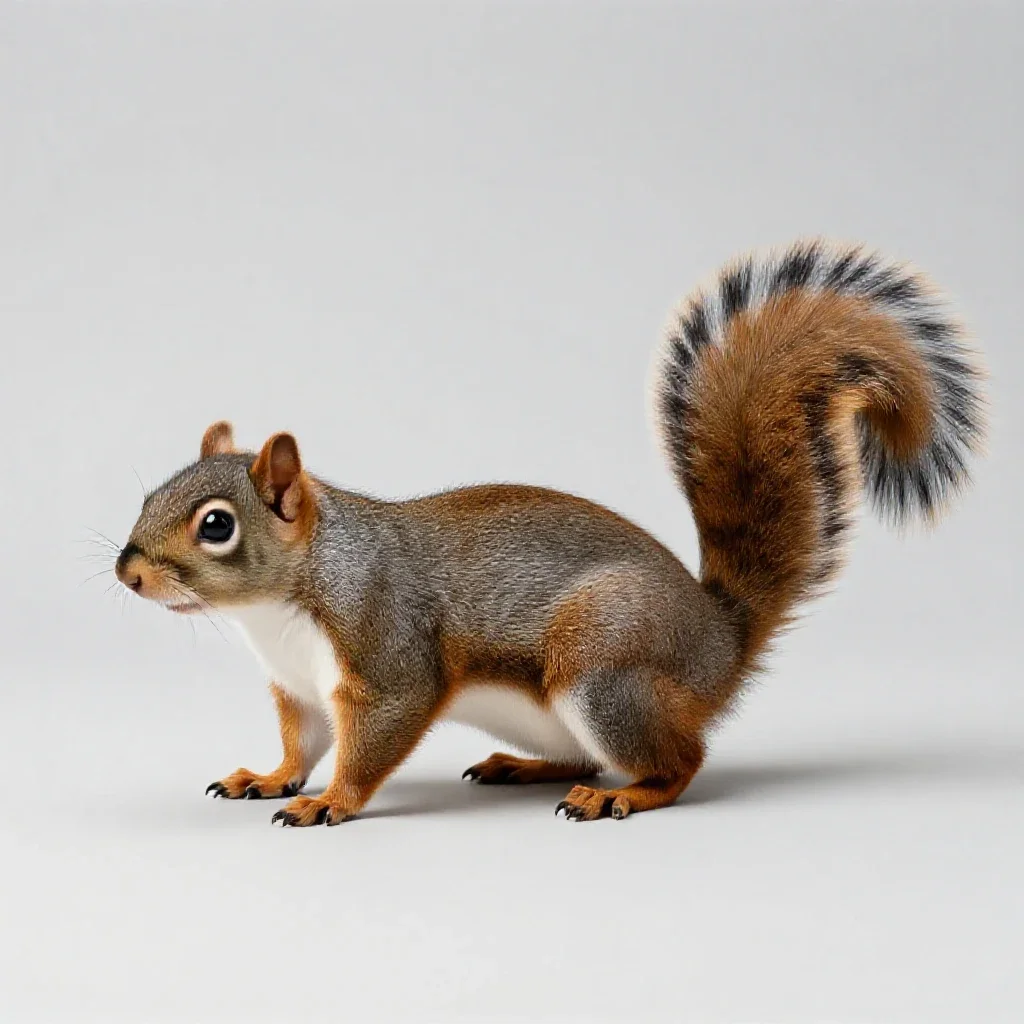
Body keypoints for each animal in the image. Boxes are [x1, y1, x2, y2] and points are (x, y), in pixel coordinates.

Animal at [115, 239, 985, 826]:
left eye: (216, 525)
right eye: (150, 493)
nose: (128, 573)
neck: (278, 606)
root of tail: (719, 641)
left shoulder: (387, 652)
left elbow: (373, 739)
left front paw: (329, 802)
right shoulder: (300, 688)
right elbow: (304, 742)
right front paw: (270, 778)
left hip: (605, 667)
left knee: (684, 758)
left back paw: (619, 795)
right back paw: (522, 767)